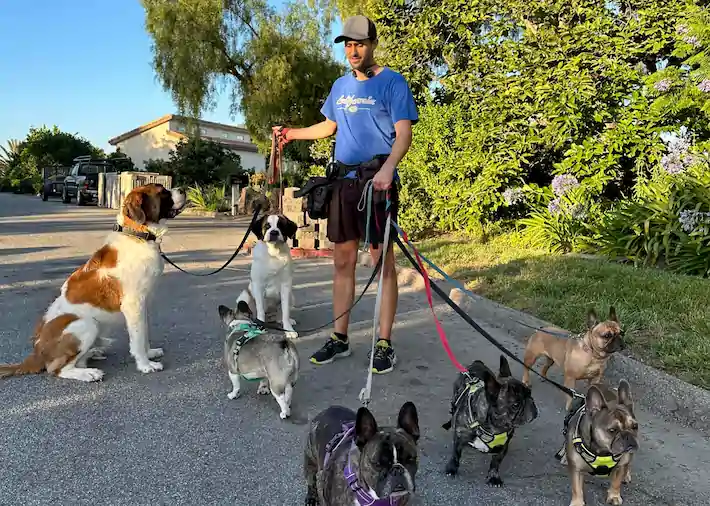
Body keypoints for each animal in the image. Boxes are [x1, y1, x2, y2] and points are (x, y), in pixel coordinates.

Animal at [0, 184, 186, 382]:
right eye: (162, 192)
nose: (182, 189)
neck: (137, 234)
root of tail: (36, 352)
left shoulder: (142, 305)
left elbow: (144, 333)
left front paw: (150, 353)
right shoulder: (133, 304)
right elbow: (138, 337)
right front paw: (145, 365)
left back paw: (93, 353)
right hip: (85, 324)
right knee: (57, 369)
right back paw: (89, 373)